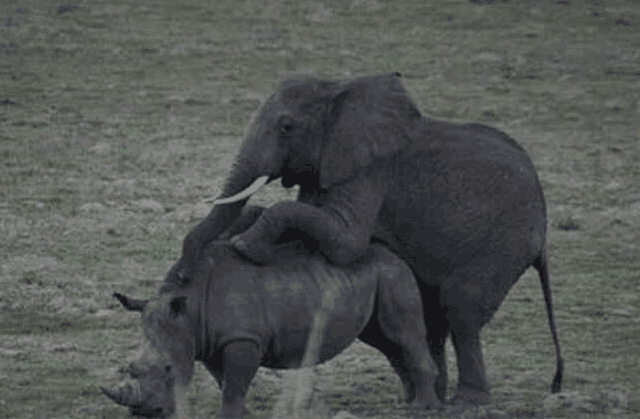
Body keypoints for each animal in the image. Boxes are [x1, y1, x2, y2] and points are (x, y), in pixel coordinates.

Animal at [101, 241, 440, 418]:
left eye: (169, 368)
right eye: (128, 367)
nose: (146, 413)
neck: (191, 307)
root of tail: (395, 255)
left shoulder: (243, 338)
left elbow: (235, 381)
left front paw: (232, 416)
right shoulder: (209, 341)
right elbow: (225, 380)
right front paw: (244, 414)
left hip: (392, 275)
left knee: (403, 337)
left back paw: (420, 408)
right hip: (376, 278)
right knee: (386, 342)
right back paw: (405, 401)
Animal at [180, 73, 560, 406]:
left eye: (287, 127)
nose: (183, 273)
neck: (337, 89)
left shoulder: (370, 170)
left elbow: (344, 242)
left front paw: (245, 246)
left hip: (502, 243)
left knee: (461, 310)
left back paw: (466, 403)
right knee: (431, 314)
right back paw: (425, 398)